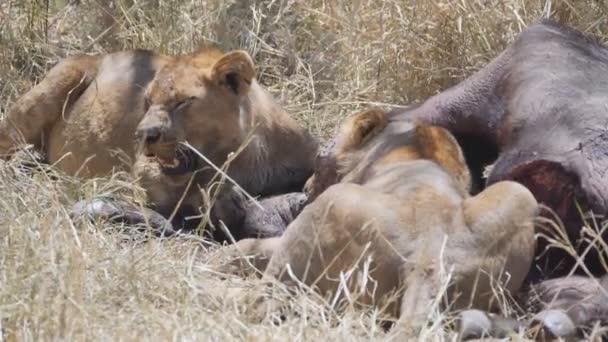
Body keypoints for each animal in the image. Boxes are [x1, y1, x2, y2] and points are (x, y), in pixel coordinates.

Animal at [1, 47, 318, 240]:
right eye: (147, 101)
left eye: (183, 102)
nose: (144, 134)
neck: (239, 160)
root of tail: (99, 55)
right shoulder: (142, 172)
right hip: (53, 85)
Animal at [226, 108, 540, 332]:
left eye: (318, 160)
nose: (305, 187)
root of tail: (427, 263)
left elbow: (249, 246)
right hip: (521, 195)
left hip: (332, 207)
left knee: (265, 298)